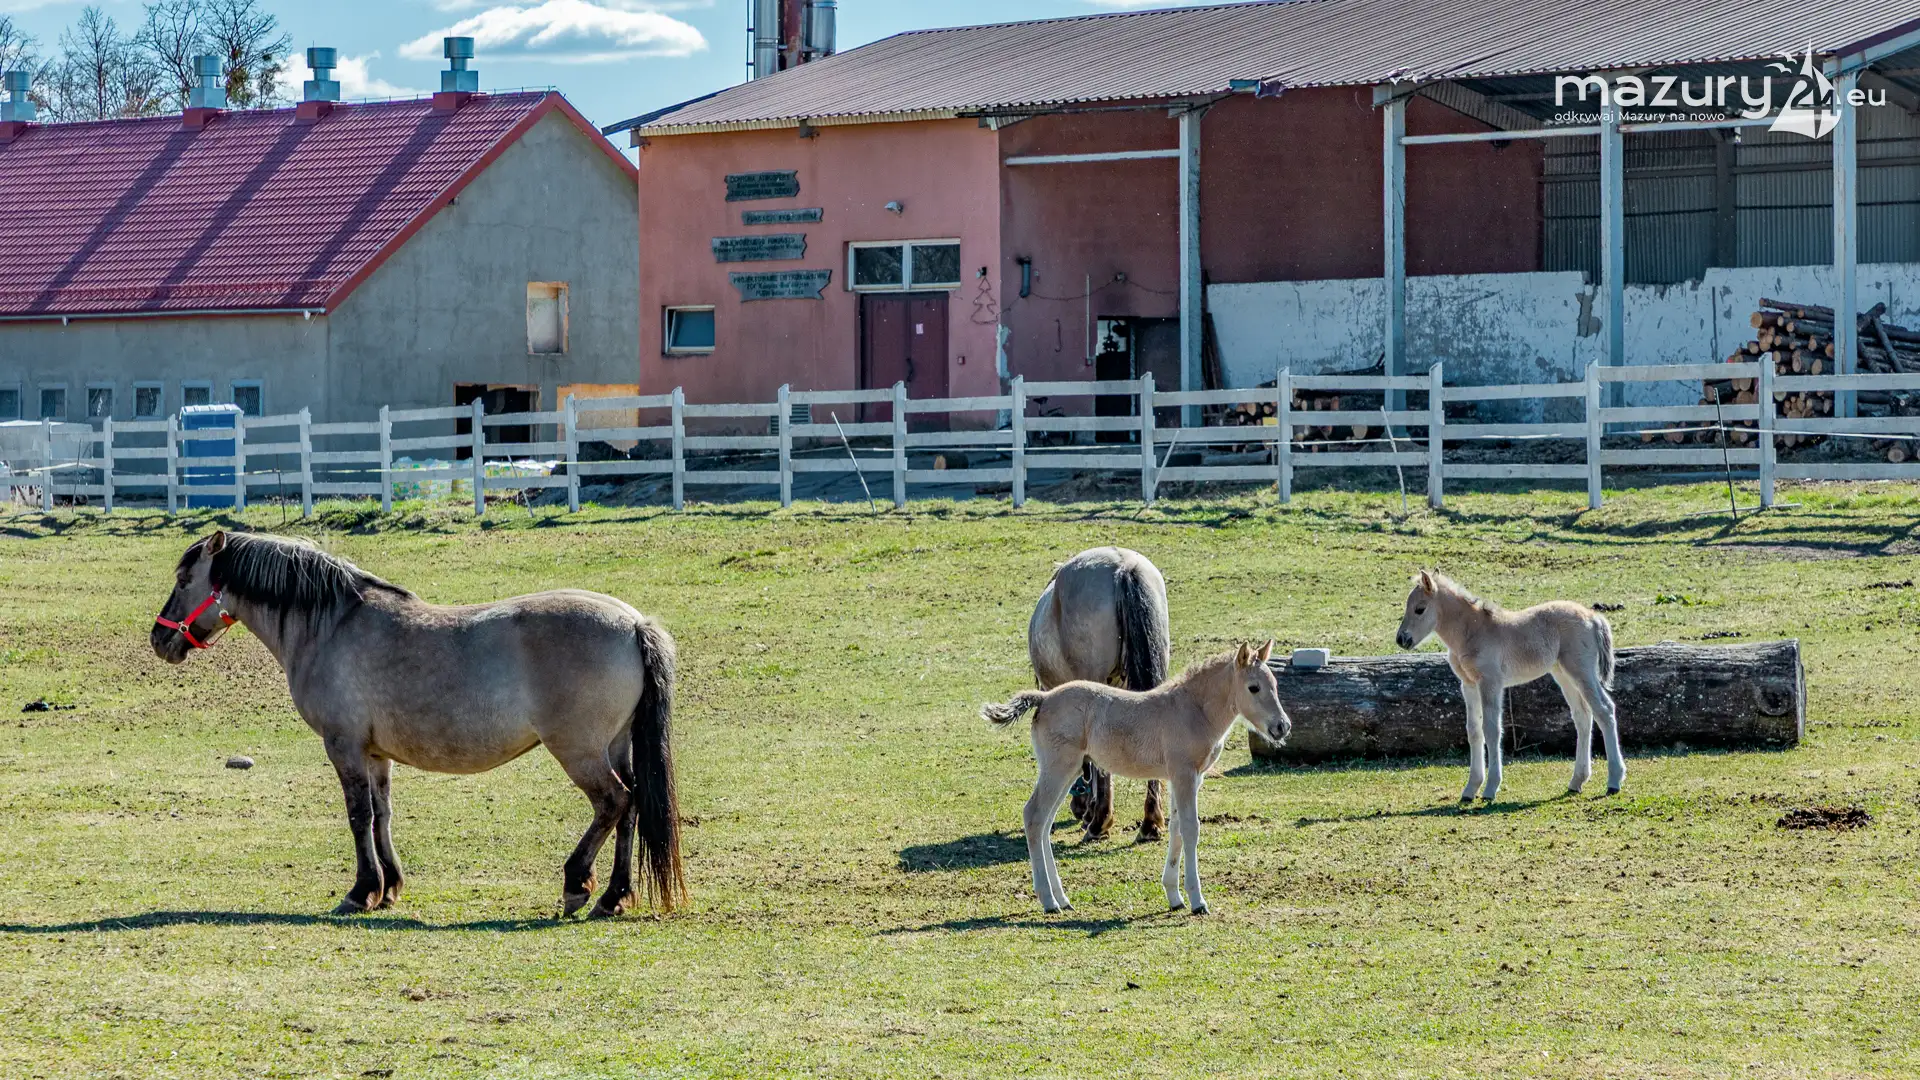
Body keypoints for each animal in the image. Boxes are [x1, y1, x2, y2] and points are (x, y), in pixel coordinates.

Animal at [150, 530, 687, 919]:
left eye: (184, 580)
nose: (159, 639)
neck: (332, 625)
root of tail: (633, 622)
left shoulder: (343, 746)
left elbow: (358, 816)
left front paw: (361, 891)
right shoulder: (374, 754)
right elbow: (382, 815)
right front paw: (389, 888)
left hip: (579, 750)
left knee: (614, 802)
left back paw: (579, 884)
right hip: (615, 745)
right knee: (631, 807)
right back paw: (614, 896)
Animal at [982, 642, 1289, 915]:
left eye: (1274, 684)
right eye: (1253, 687)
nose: (1282, 726)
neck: (1193, 710)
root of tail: (1044, 699)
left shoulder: (1185, 779)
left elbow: (1176, 829)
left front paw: (1174, 897)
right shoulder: (1184, 775)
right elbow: (1191, 829)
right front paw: (1197, 901)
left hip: (1069, 772)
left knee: (1044, 823)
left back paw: (1062, 898)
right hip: (1058, 768)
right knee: (1034, 816)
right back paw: (1048, 901)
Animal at [1395, 570, 1623, 803]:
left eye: (1419, 609)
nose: (1401, 639)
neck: (1472, 631)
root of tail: (1593, 617)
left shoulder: (1491, 682)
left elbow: (1492, 730)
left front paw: (1490, 788)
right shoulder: (1468, 685)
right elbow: (1473, 731)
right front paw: (1470, 789)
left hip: (1582, 671)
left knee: (1604, 710)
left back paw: (1613, 782)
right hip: (1563, 674)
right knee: (1582, 716)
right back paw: (1577, 781)